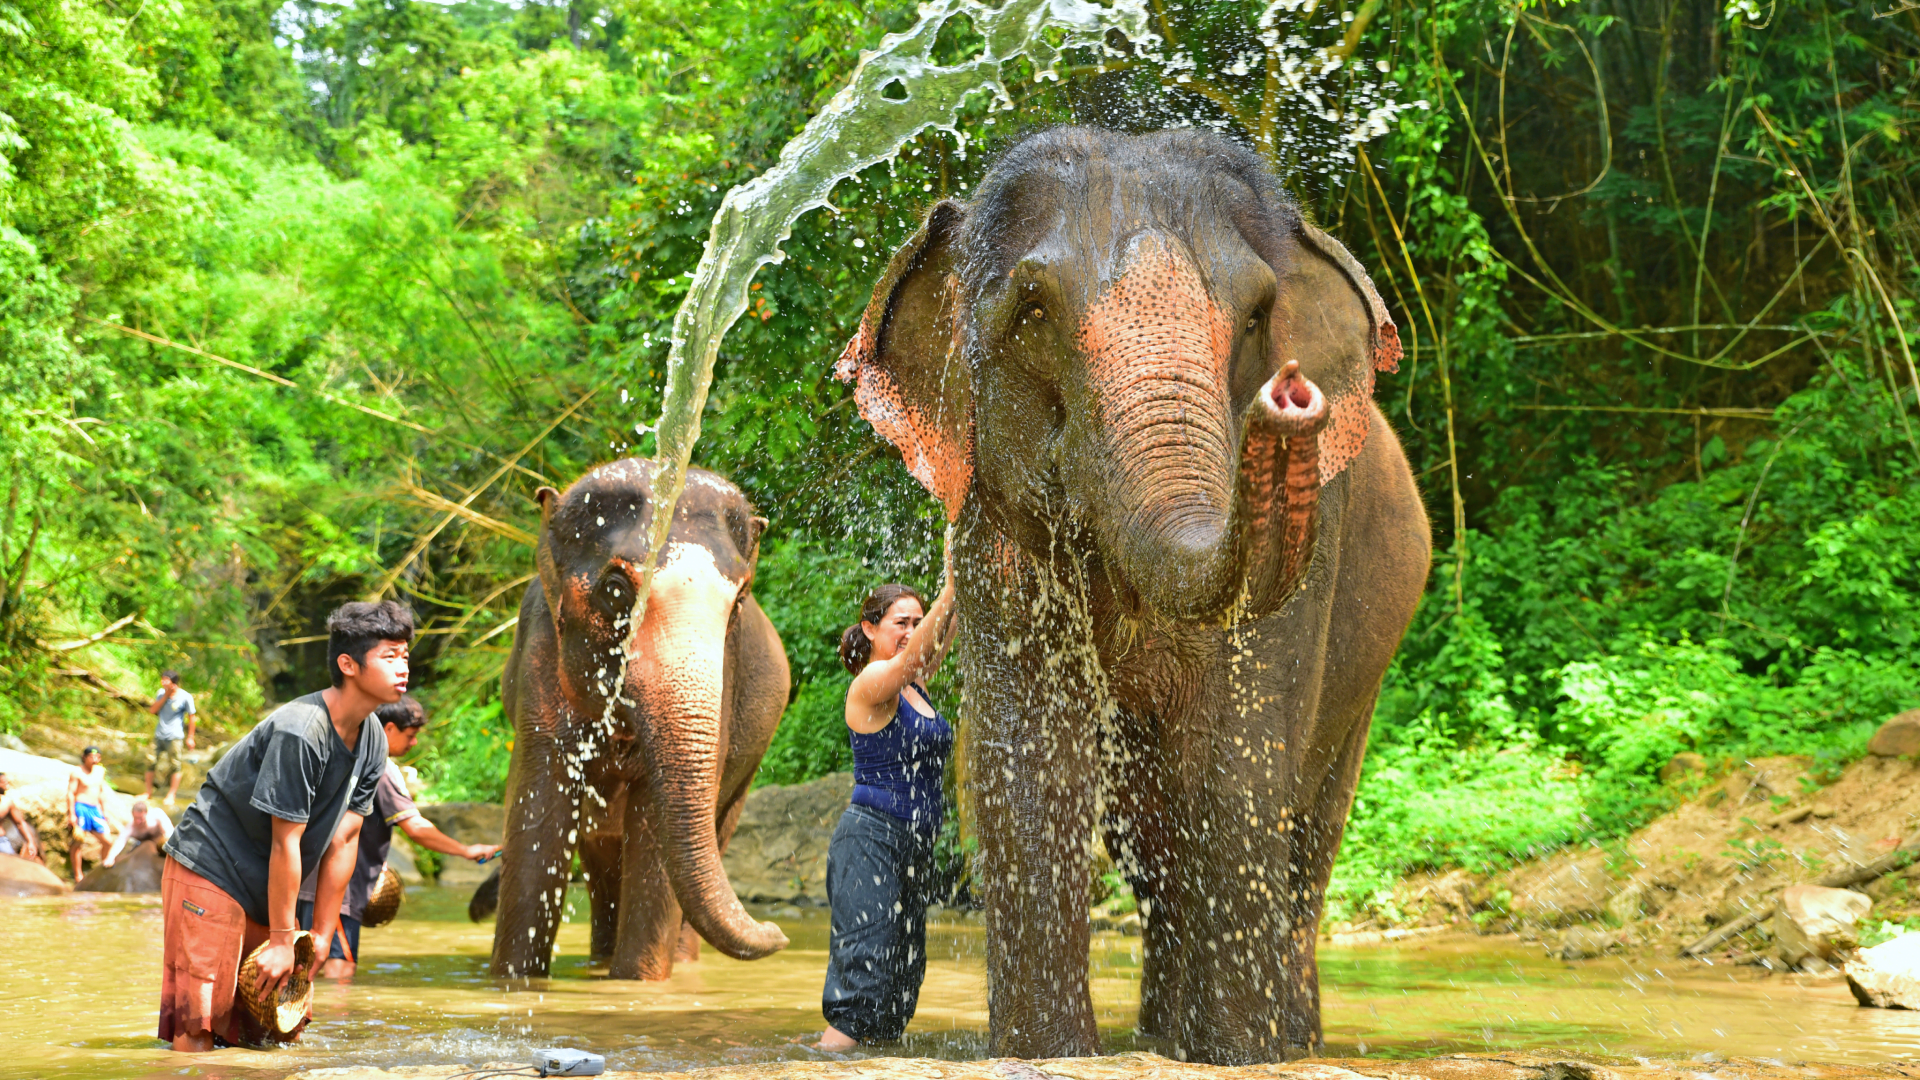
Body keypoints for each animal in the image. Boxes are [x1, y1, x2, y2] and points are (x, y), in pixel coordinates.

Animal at [488, 458, 792, 980]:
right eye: (615, 590)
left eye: (739, 601)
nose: (777, 932)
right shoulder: (538, 665)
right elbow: (538, 815)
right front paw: (514, 980)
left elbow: (655, 831)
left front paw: (638, 984)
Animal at [834, 127, 1431, 1063]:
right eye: (1033, 312)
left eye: (1257, 317)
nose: (1290, 394)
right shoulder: (995, 532)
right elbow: (1029, 768)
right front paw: (1046, 1055)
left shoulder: (1319, 547)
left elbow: (1236, 761)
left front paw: (1240, 1060)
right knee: (1154, 848)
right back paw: (1164, 1034)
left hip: (1372, 654)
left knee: (1306, 829)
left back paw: (1287, 1041)